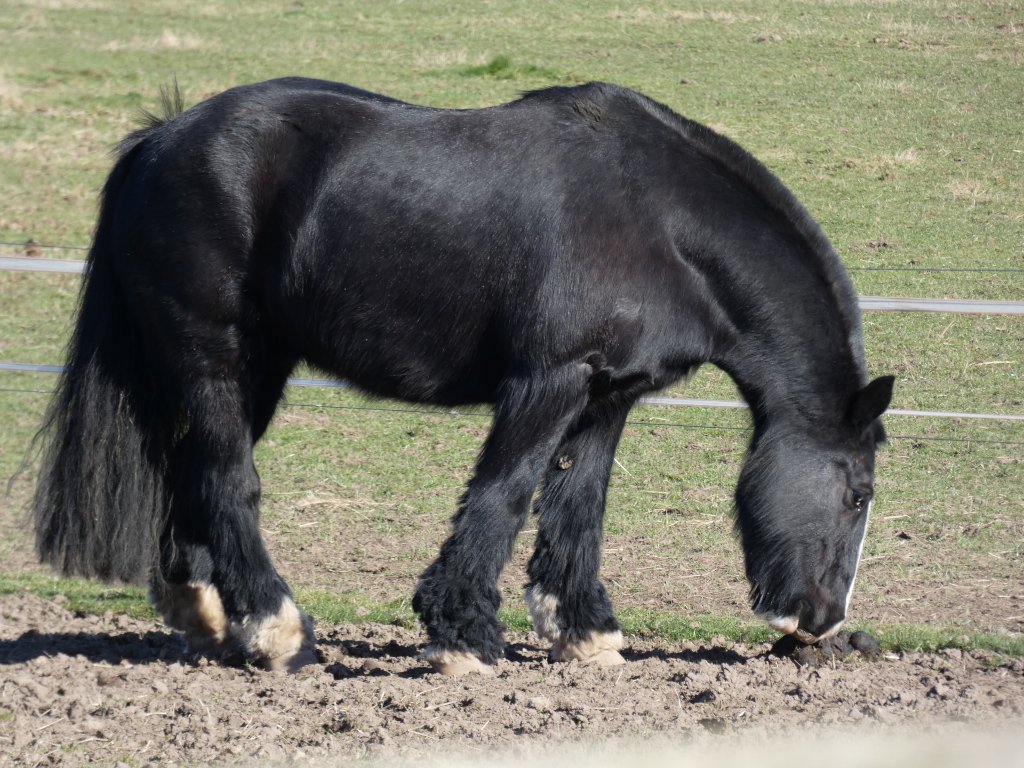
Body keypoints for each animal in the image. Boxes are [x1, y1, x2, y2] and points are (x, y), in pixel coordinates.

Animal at [33, 78, 893, 675]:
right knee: (225, 479)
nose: (820, 623)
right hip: (213, 355)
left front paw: (585, 632)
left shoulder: (607, 395)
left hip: (254, 367)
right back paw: (277, 628)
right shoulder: (547, 382)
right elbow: (503, 496)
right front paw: (464, 637)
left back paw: (213, 615)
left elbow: (578, 505)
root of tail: (160, 140)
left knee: (196, 478)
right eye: (858, 494)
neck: (660, 223)